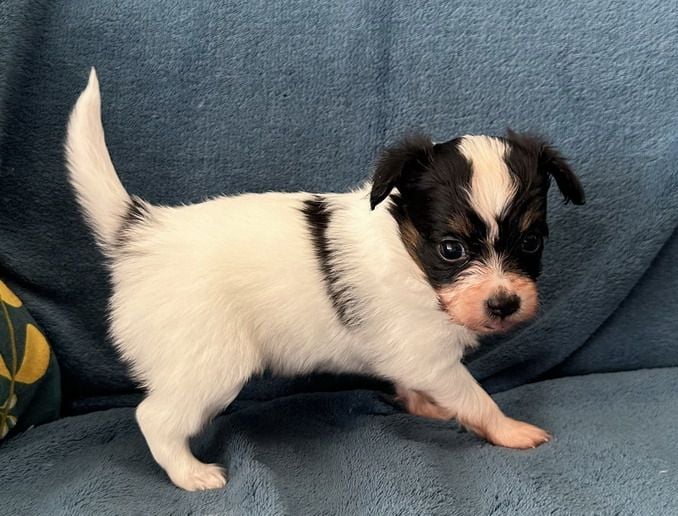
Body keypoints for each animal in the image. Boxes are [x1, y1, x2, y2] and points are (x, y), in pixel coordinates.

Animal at [65, 69, 584, 491]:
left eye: (531, 243)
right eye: (451, 249)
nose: (504, 304)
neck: (408, 253)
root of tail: (143, 233)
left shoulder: (415, 358)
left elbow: (419, 386)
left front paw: (424, 405)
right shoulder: (431, 357)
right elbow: (475, 398)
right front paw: (509, 429)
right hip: (210, 364)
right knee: (154, 416)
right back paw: (190, 473)